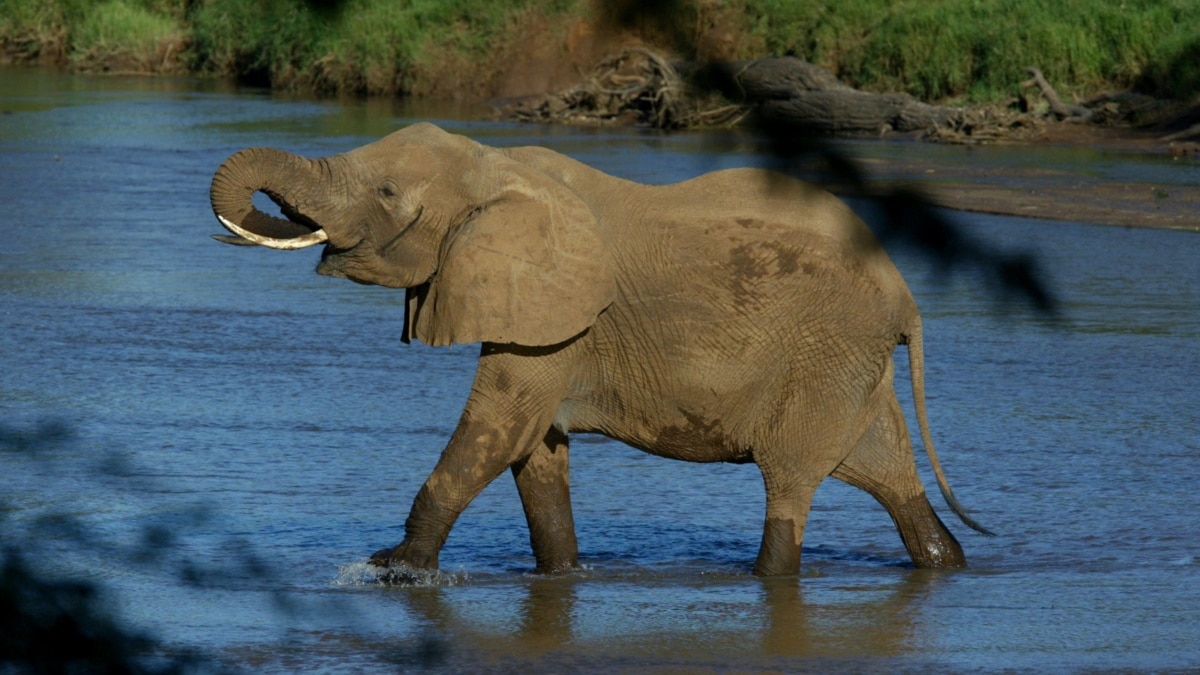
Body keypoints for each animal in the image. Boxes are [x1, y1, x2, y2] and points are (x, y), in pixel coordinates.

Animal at [208, 120, 993, 571]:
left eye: (387, 192)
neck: (496, 164)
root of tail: (905, 296)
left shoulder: (560, 315)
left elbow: (498, 426)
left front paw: (392, 569)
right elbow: (534, 448)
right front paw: (563, 577)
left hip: (825, 358)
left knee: (791, 485)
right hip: (851, 369)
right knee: (889, 475)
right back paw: (946, 561)